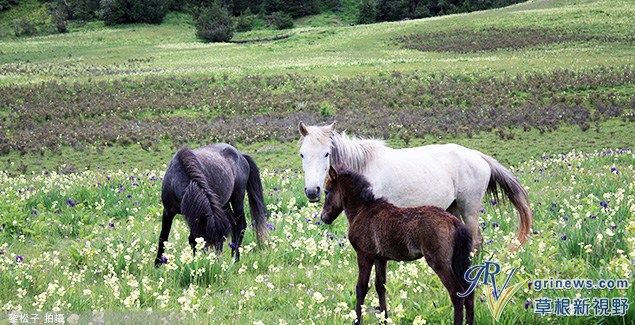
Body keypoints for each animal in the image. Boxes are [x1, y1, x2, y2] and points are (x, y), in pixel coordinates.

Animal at [298, 122, 532, 248]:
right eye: (302, 154)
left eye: (326, 153)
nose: (312, 191)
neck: (365, 169)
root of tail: (479, 156)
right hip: (453, 208)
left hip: (470, 209)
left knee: (476, 241)